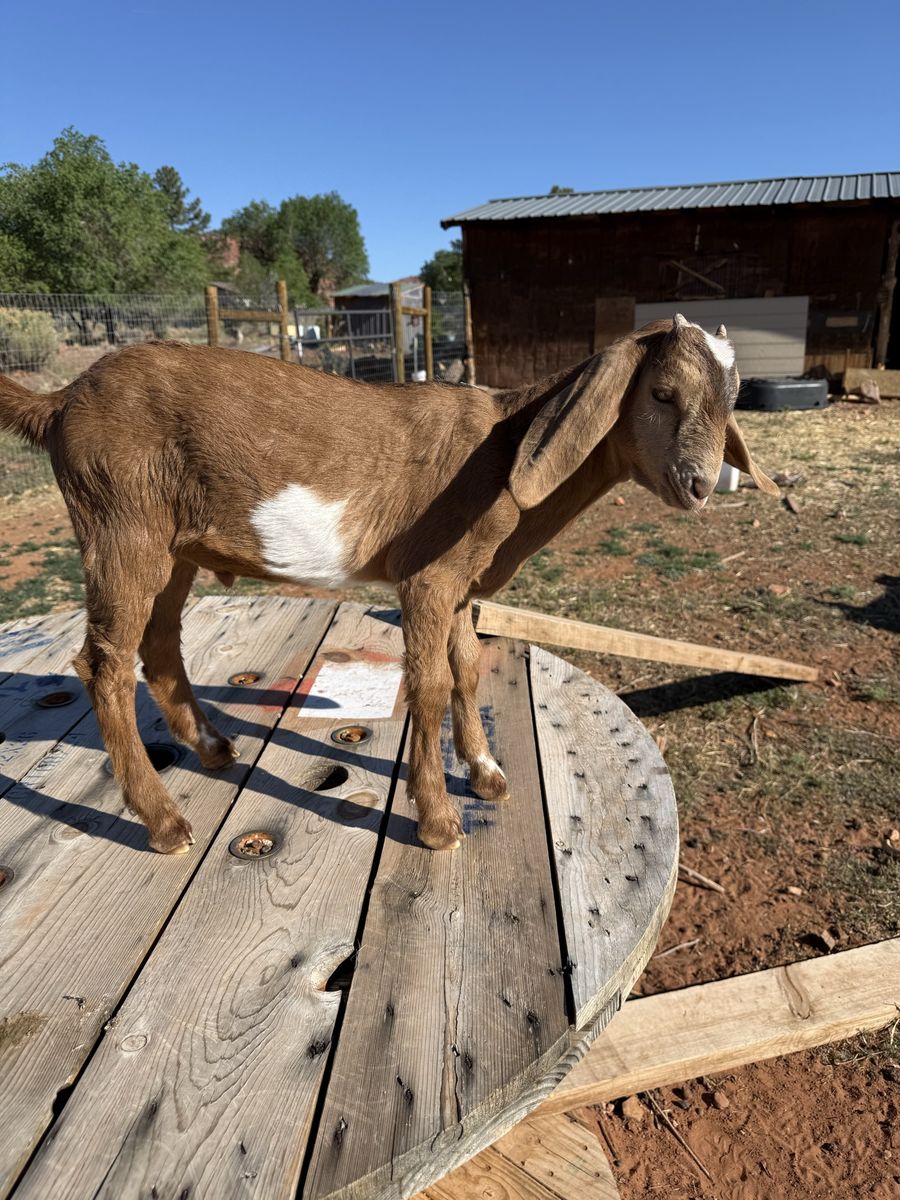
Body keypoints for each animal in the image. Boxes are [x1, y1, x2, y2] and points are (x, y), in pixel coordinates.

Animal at [0, 315, 778, 853]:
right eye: (662, 393)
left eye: (735, 399)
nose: (699, 484)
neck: (506, 443)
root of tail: (60, 401)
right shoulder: (427, 578)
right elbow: (428, 685)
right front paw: (437, 821)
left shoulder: (463, 583)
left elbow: (468, 669)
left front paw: (485, 771)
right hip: (119, 523)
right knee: (102, 663)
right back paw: (163, 821)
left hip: (172, 543)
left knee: (158, 644)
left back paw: (215, 749)